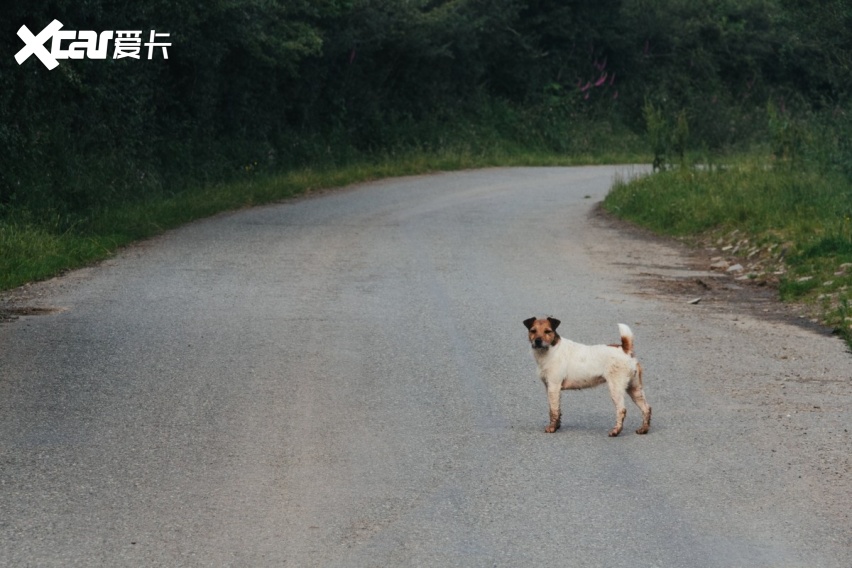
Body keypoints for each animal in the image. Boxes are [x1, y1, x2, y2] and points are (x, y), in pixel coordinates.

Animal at [520, 318, 652, 438]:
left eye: (547, 331)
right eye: (533, 330)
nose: (537, 341)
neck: (552, 349)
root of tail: (625, 350)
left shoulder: (553, 386)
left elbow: (554, 410)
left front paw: (552, 428)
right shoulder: (550, 388)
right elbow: (556, 409)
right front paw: (557, 426)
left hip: (616, 389)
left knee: (622, 410)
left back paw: (615, 431)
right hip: (635, 389)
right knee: (646, 408)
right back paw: (643, 429)